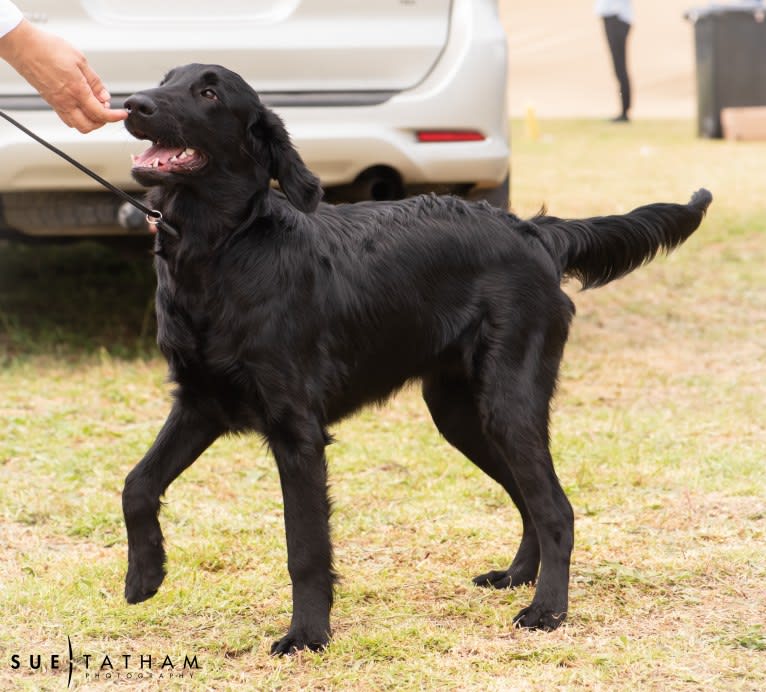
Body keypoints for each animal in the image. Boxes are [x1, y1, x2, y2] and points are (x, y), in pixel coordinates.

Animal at [121, 63, 712, 656]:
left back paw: (546, 608)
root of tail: (535, 230)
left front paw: (307, 634)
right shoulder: (200, 403)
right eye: (165, 79)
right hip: (459, 412)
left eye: (209, 92)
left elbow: (305, 547)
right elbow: (136, 485)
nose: (131, 103)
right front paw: (145, 576)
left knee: (555, 508)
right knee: (528, 498)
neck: (220, 251)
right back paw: (517, 575)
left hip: (508, 403)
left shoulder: (297, 431)